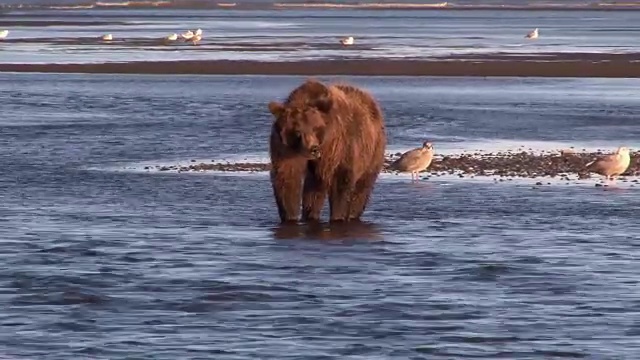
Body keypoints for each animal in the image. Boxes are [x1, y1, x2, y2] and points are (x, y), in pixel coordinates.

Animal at [268, 80, 388, 224]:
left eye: (315, 128)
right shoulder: (286, 148)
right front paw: (290, 218)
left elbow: (341, 179)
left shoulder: (339, 145)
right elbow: (288, 177)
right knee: (314, 187)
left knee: (363, 185)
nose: (313, 149)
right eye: (298, 131)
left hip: (373, 149)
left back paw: (353, 213)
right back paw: (311, 215)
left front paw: (338, 217)